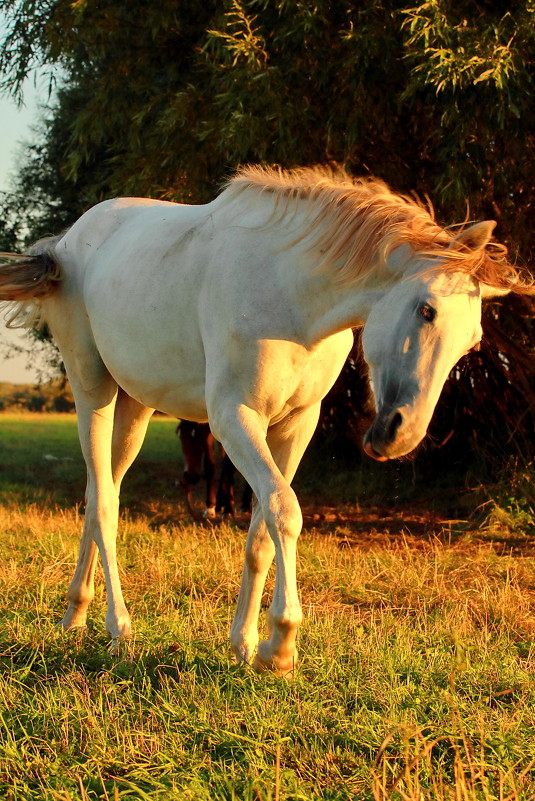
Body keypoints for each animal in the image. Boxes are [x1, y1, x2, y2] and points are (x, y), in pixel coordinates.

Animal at [0, 167, 532, 676]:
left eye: (472, 341)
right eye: (427, 310)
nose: (400, 435)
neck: (289, 295)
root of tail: (65, 244)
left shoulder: (296, 425)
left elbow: (260, 530)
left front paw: (245, 644)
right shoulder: (233, 418)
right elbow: (284, 511)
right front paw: (280, 645)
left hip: (136, 406)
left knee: (98, 495)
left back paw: (75, 614)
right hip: (92, 389)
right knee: (106, 506)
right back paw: (119, 630)